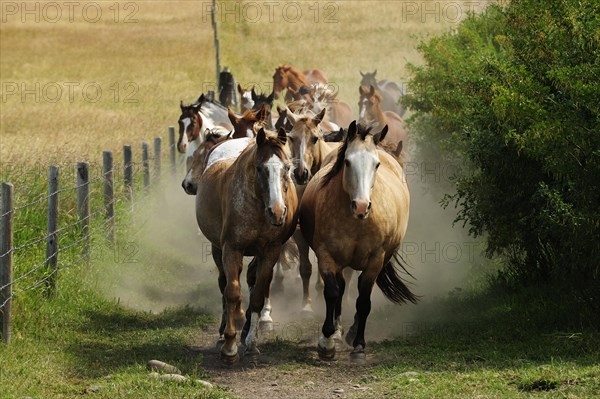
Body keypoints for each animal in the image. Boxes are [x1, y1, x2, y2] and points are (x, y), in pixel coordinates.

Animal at [298, 122, 418, 362]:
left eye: (376, 164)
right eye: (347, 162)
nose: (361, 206)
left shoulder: (375, 260)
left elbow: (363, 301)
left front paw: (358, 344)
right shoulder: (327, 255)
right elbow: (332, 292)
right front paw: (327, 340)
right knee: (340, 288)